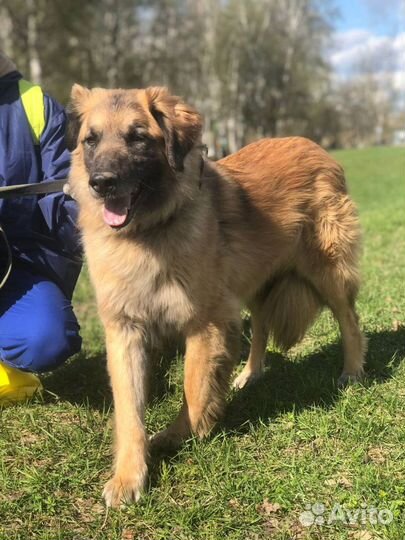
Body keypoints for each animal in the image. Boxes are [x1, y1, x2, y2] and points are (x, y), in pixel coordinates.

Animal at [66, 85, 366, 506]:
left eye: (138, 137)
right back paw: (249, 374)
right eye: (90, 140)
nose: (102, 182)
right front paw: (129, 476)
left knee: (349, 320)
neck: (149, 232)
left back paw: (352, 370)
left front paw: (185, 433)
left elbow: (194, 388)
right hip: (253, 282)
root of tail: (316, 147)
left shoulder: (204, 321)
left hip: (326, 271)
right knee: (261, 326)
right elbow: (128, 408)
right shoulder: (126, 330)